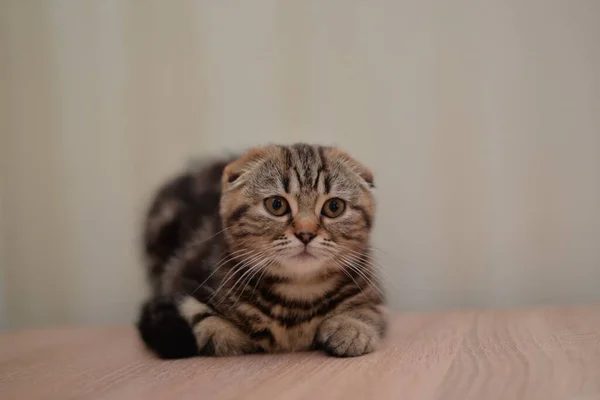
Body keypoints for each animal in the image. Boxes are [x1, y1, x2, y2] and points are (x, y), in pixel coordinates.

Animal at [138, 145, 386, 360]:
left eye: (334, 207)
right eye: (276, 205)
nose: (305, 234)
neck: (298, 295)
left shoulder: (373, 291)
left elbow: (370, 311)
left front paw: (353, 329)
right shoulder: (182, 277)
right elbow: (204, 320)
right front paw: (232, 335)